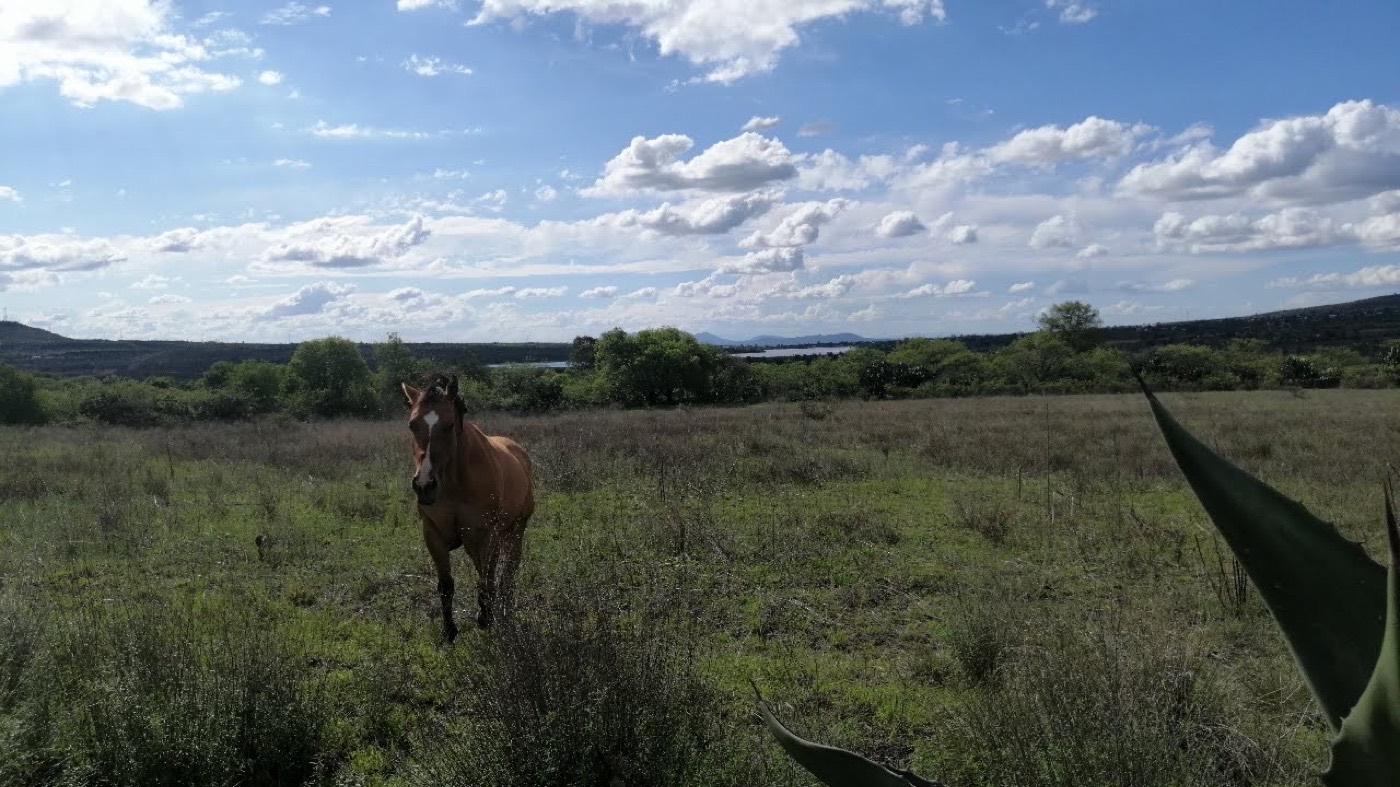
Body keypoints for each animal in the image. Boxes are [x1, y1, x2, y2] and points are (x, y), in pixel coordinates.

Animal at [402, 374, 534, 641]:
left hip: (515, 531)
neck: (455, 482)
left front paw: (485, 619)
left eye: (450, 425)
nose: (424, 485)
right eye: (412, 425)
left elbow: (487, 580)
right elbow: (446, 585)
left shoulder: (486, 535)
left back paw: (504, 613)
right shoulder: (433, 534)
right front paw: (449, 632)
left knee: (508, 575)